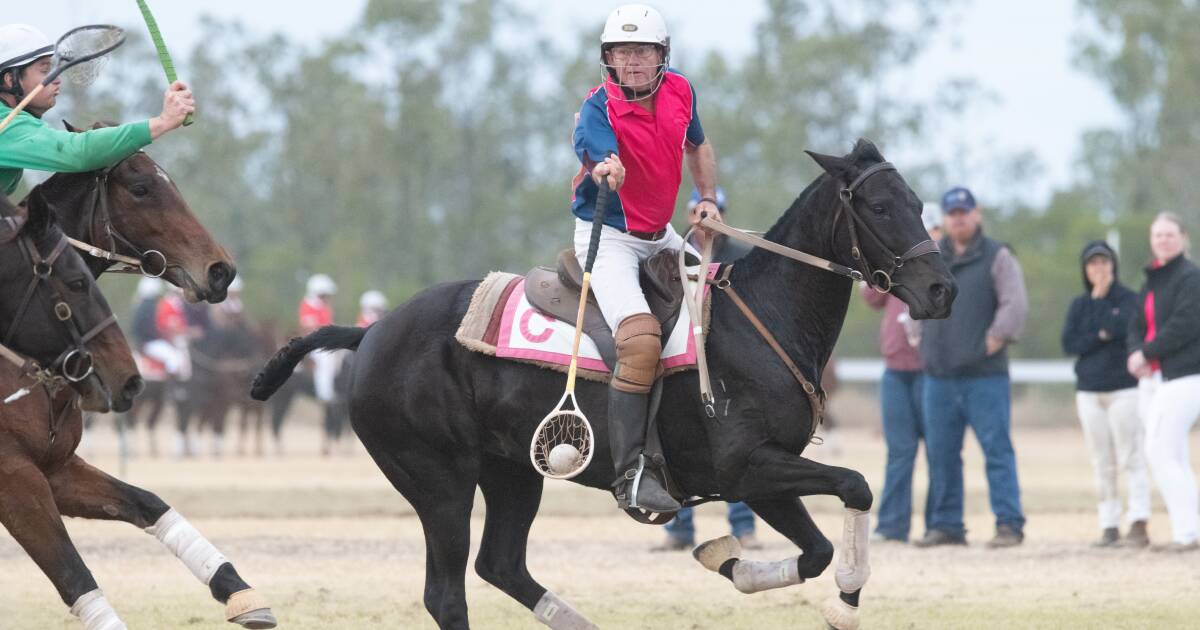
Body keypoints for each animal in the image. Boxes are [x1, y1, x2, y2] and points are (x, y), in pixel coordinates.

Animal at [2, 130, 274, 624]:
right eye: (141, 188)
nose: (221, 269)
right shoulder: (14, 474)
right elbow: (73, 573)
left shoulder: (54, 465)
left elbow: (147, 502)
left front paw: (239, 590)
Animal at [253, 139, 955, 624]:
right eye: (880, 206)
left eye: (921, 204)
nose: (942, 290)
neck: (762, 318)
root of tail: (370, 333)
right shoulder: (749, 466)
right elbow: (855, 488)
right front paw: (844, 601)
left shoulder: (759, 476)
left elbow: (815, 550)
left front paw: (726, 558)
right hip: (438, 480)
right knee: (447, 593)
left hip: (512, 471)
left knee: (502, 565)